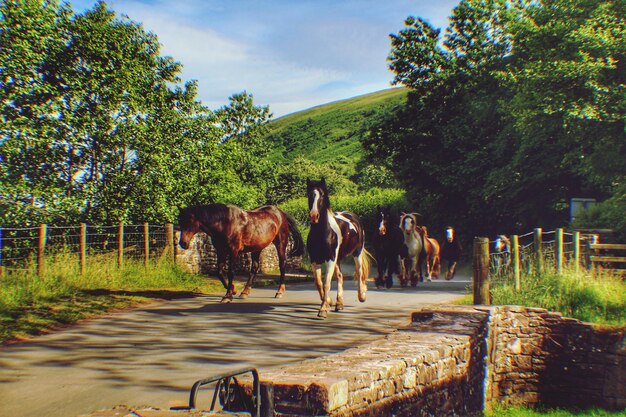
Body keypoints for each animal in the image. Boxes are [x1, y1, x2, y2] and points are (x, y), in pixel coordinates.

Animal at [304, 179, 368, 318]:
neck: (322, 233)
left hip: (357, 253)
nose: (314, 216)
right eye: (310, 195)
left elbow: (327, 283)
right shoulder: (314, 260)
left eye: (322, 195)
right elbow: (319, 283)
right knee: (340, 276)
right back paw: (339, 303)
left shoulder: (330, 259)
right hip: (338, 259)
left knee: (359, 272)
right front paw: (329, 302)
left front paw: (323, 309)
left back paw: (361, 296)